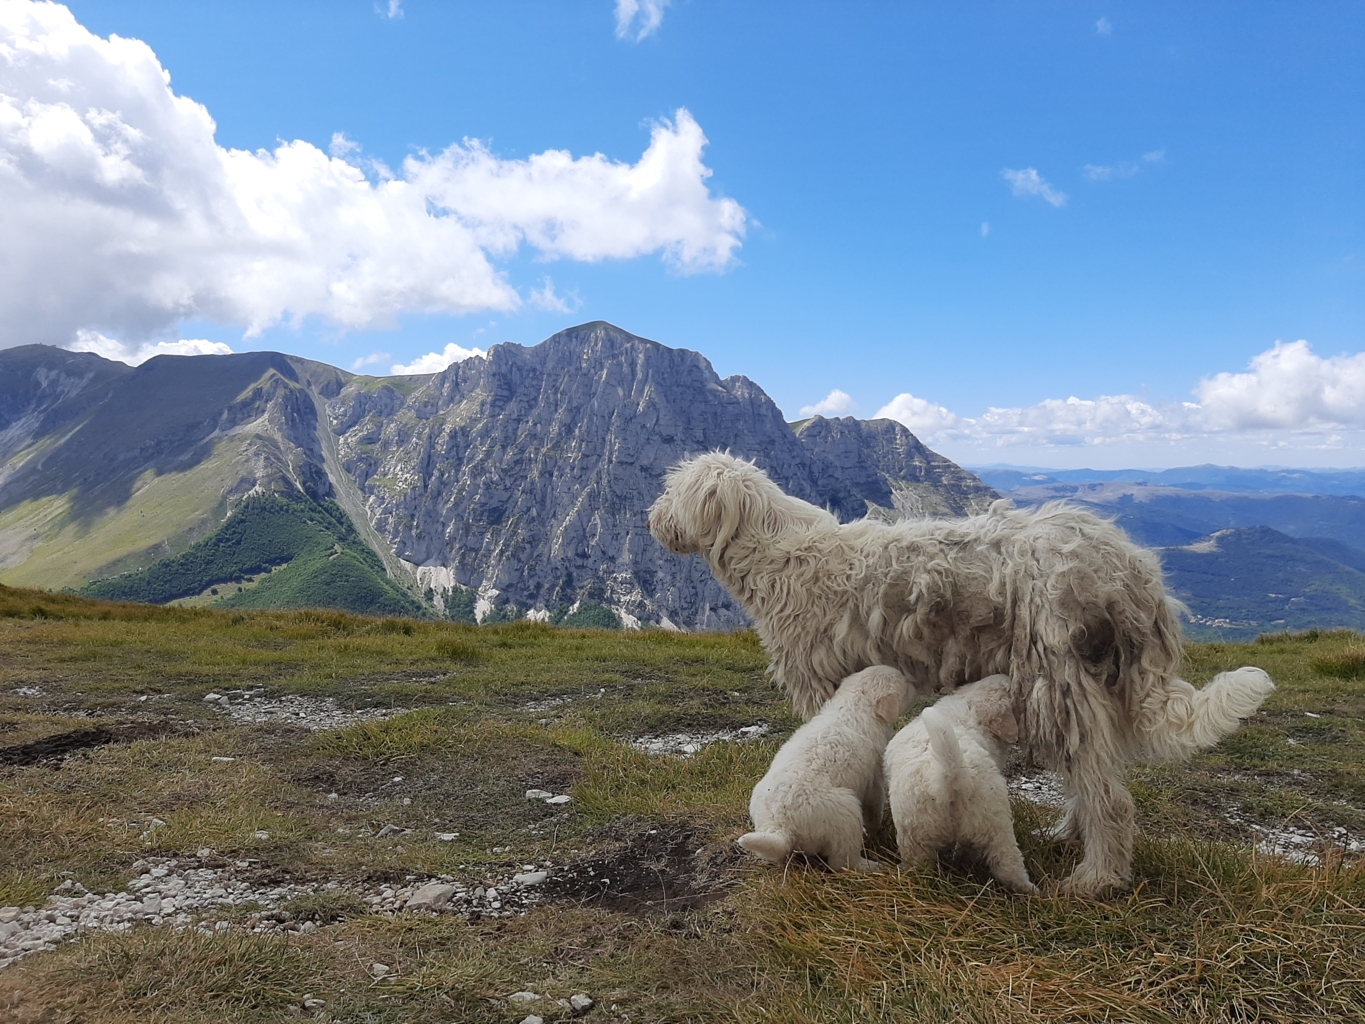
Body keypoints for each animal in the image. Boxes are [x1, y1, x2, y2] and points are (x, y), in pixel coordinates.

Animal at [737, 666, 906, 873]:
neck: (854, 703)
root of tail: (779, 825)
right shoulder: (873, 779)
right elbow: (874, 806)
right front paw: (875, 832)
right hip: (846, 812)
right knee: (842, 862)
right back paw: (873, 866)